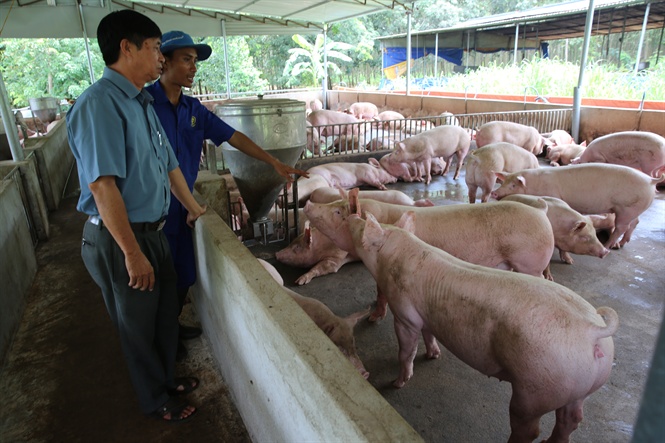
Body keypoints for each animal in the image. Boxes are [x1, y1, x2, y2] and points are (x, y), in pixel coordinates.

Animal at [342, 212, 616, 443]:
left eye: (361, 230)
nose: (353, 215)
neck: (395, 255)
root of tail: (593, 330)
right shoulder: (426, 313)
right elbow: (429, 333)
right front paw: (433, 355)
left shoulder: (405, 315)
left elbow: (406, 351)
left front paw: (397, 383)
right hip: (579, 386)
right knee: (571, 420)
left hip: (537, 386)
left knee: (529, 428)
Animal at [490, 165, 660, 251]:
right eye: (503, 182)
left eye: (513, 185)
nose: (494, 192)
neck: (534, 184)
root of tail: (651, 180)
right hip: (634, 209)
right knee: (634, 223)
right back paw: (624, 243)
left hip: (626, 209)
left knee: (621, 227)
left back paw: (608, 246)